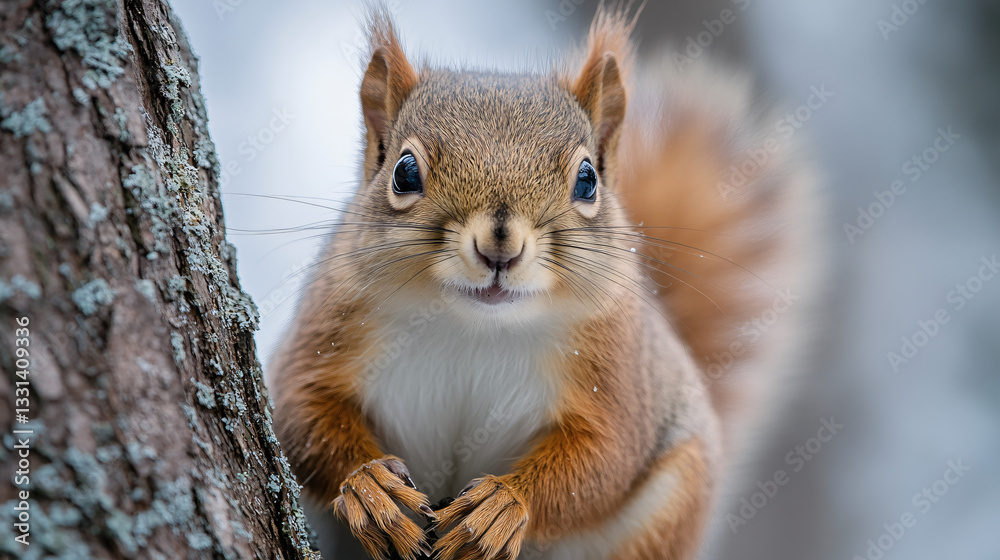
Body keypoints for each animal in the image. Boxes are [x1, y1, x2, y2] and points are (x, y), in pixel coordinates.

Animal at [271, 5, 816, 560]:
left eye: (588, 180)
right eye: (404, 172)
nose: (500, 247)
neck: (474, 325)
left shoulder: (615, 369)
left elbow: (604, 456)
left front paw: (504, 507)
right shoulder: (333, 324)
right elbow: (301, 409)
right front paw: (368, 486)